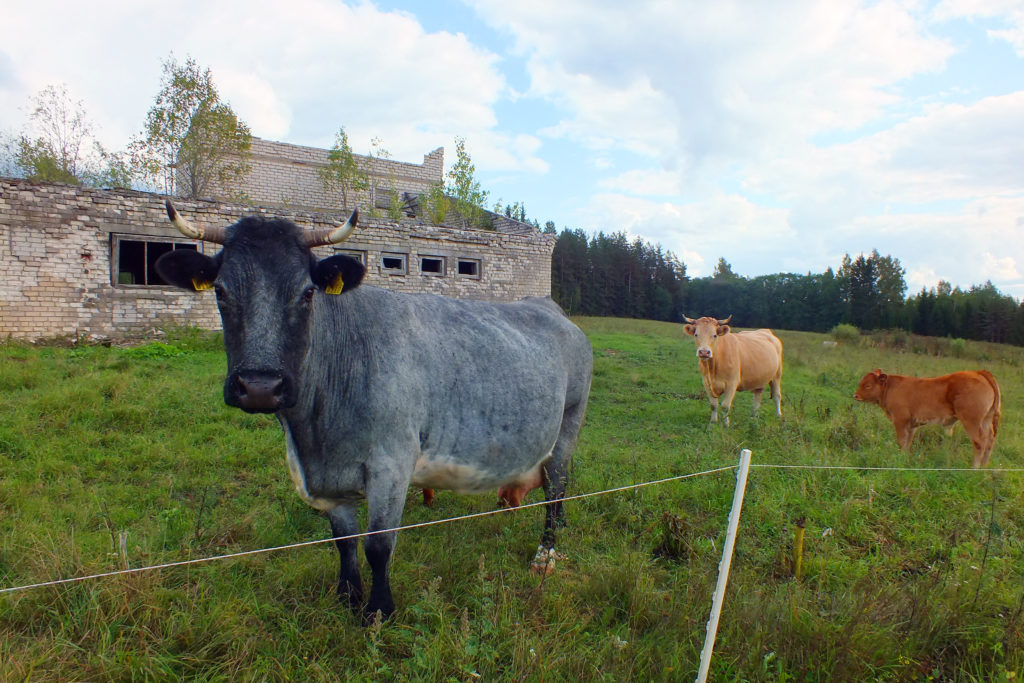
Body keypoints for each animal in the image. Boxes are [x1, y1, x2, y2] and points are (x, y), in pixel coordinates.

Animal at [153, 201, 593, 618]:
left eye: (307, 293)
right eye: (220, 291)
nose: (260, 387)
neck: (313, 437)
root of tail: (549, 306)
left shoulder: (392, 464)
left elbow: (378, 546)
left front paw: (379, 610)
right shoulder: (329, 481)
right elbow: (344, 542)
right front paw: (347, 598)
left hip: (569, 424)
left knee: (556, 488)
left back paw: (546, 553)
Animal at [847, 368, 999, 471]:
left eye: (868, 385)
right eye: (861, 383)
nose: (855, 395)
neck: (890, 388)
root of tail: (978, 372)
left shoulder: (900, 421)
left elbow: (901, 442)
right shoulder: (911, 425)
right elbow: (907, 443)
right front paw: (905, 458)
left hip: (971, 422)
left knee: (979, 443)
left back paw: (974, 469)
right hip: (986, 420)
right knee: (989, 442)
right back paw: (984, 468)